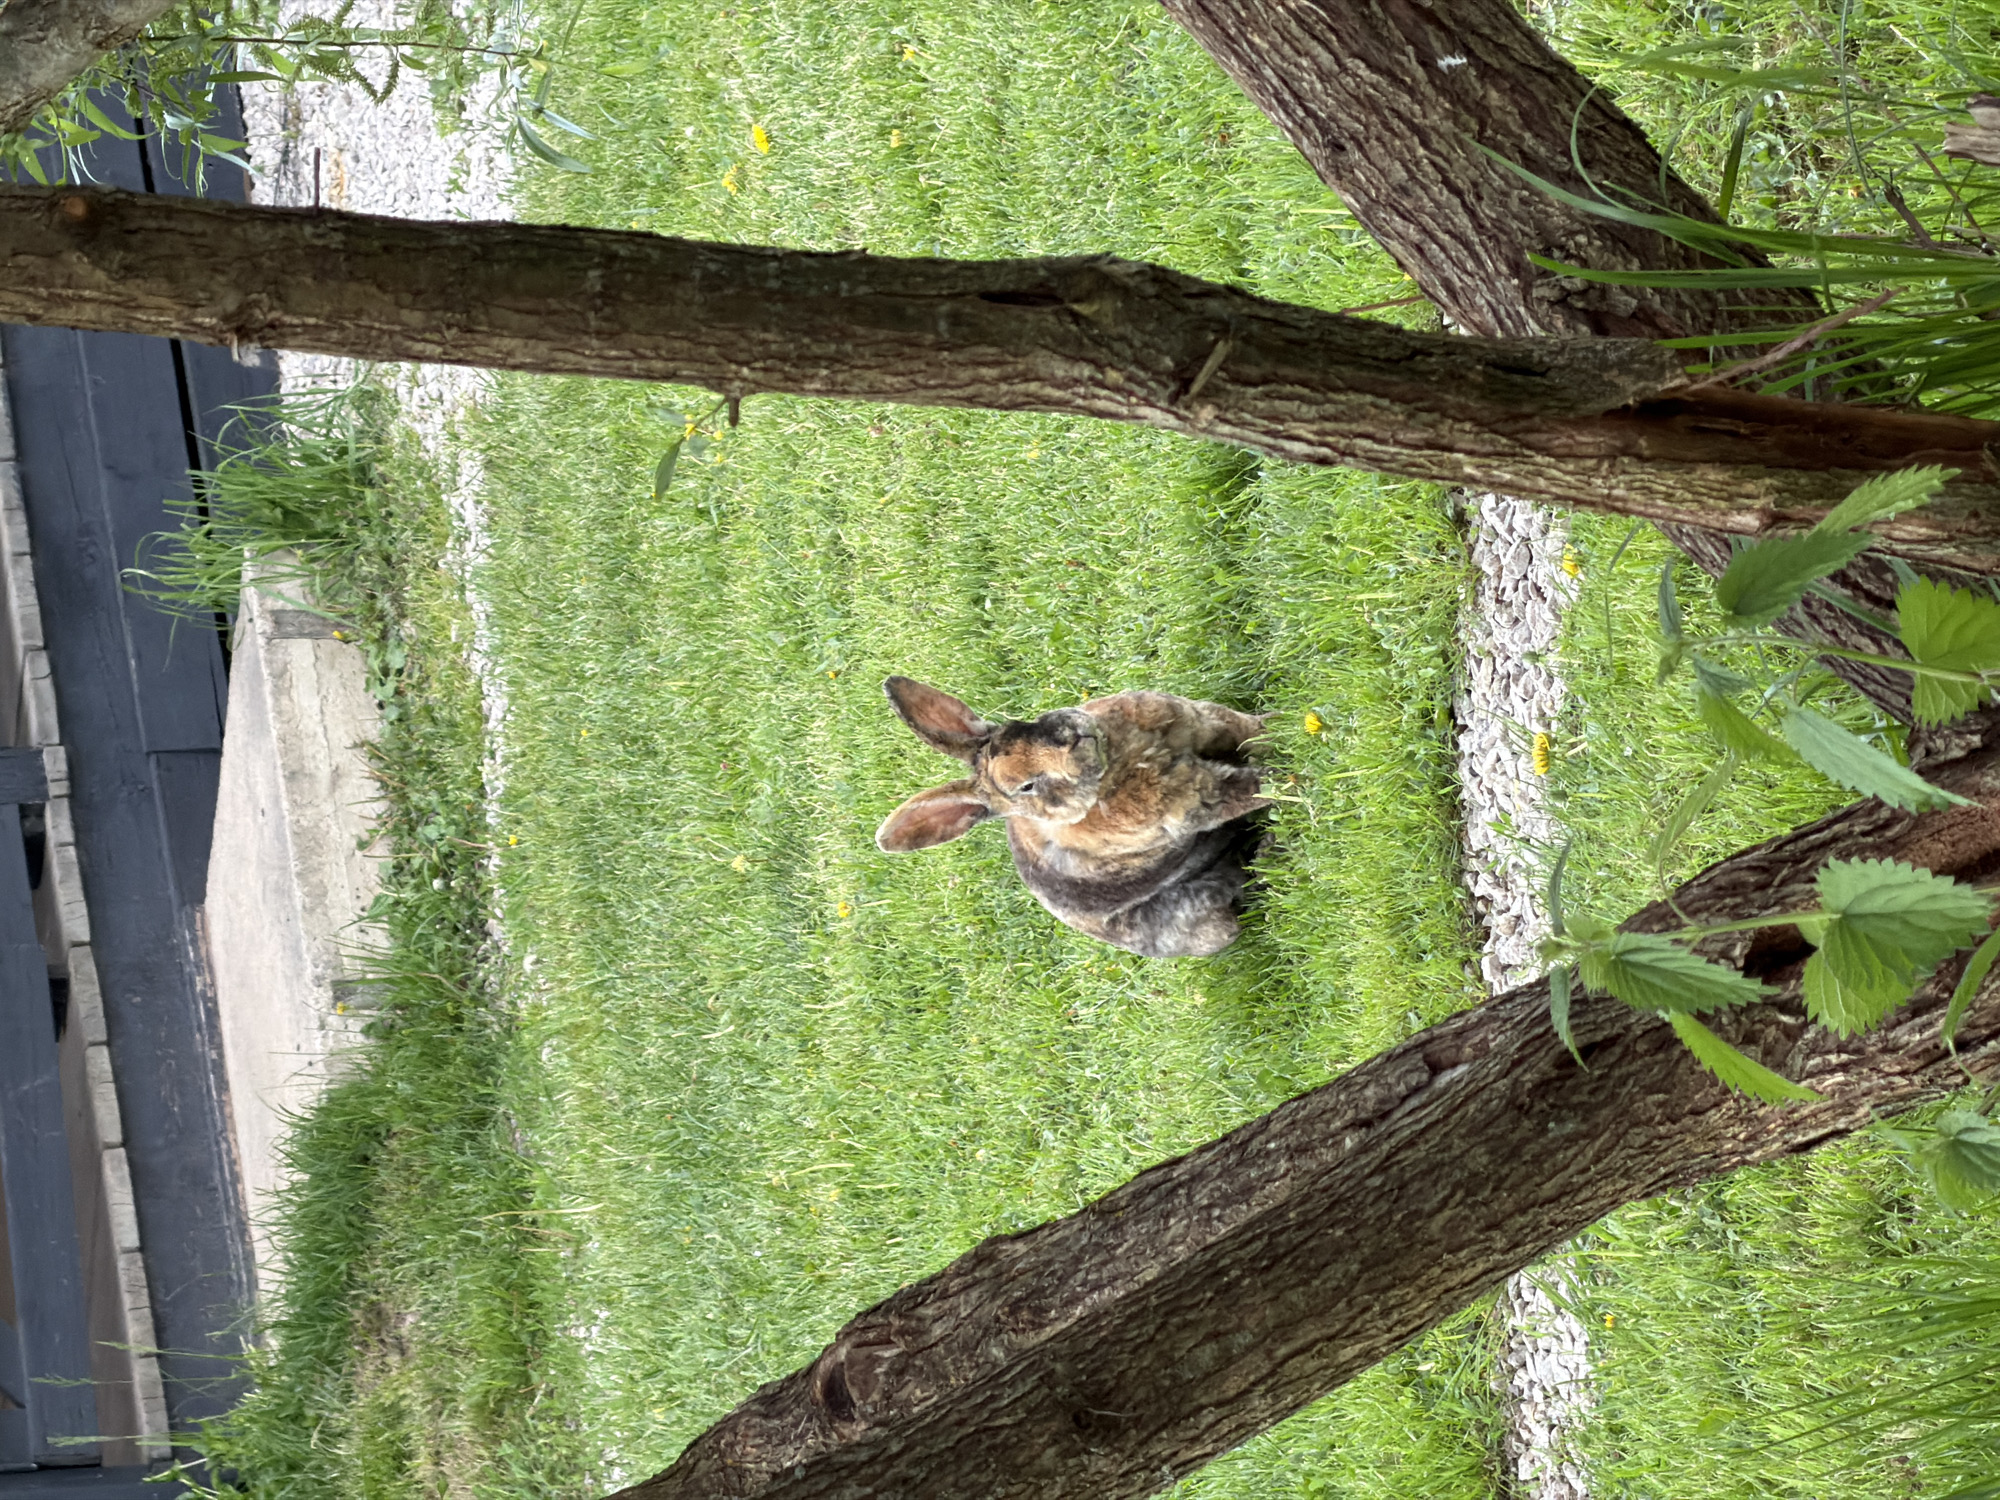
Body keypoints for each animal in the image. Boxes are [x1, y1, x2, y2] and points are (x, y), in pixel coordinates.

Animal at [874, 676, 1272, 958]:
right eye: (1026, 787)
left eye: (1018, 725)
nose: (1071, 740)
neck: (1113, 762)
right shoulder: (1198, 800)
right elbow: (1253, 785)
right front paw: (1286, 775)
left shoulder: (1208, 723)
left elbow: (1252, 732)